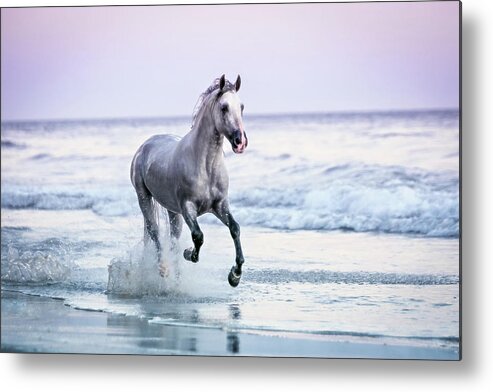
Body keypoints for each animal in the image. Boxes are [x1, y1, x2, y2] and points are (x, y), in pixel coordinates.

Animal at [131, 74, 248, 288]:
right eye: (224, 107)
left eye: (241, 106)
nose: (240, 142)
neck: (206, 166)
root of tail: (145, 146)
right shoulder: (187, 207)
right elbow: (198, 236)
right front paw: (190, 254)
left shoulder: (220, 205)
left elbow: (235, 229)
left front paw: (235, 276)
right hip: (144, 198)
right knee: (154, 232)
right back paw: (163, 268)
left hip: (172, 211)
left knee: (172, 239)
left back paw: (176, 278)